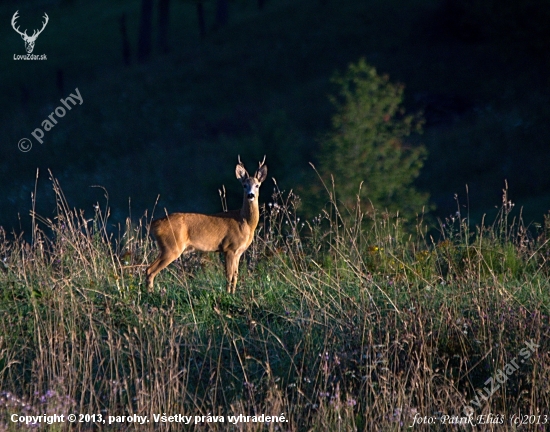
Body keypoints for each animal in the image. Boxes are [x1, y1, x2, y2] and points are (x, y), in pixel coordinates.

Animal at [146, 156, 268, 294]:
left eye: (257, 185)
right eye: (244, 185)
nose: (250, 195)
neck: (244, 222)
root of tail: (154, 224)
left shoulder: (238, 252)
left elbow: (235, 275)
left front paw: (233, 293)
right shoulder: (229, 248)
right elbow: (229, 275)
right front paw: (228, 294)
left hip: (167, 247)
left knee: (148, 269)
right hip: (171, 247)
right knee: (150, 270)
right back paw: (151, 294)